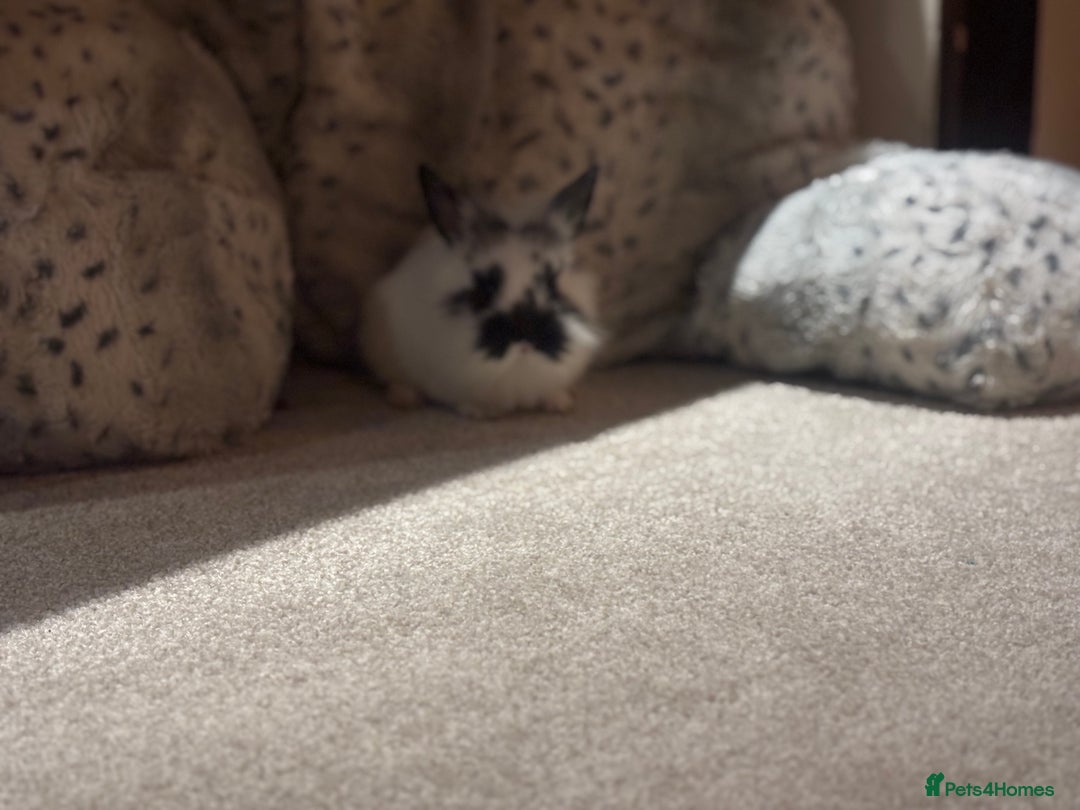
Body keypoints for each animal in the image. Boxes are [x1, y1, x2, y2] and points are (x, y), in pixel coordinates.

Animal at [359, 164, 604, 418]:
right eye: (486, 286)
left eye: (552, 282)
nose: (526, 340)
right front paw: (478, 410)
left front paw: (560, 403)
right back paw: (404, 399)